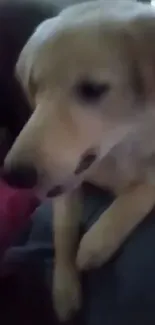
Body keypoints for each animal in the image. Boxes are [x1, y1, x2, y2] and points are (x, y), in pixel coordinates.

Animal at [3, 0, 155, 318]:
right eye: (35, 86)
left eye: (92, 90)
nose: (14, 176)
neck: (117, 149)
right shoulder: (66, 184)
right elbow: (63, 231)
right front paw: (64, 291)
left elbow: (143, 189)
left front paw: (97, 241)